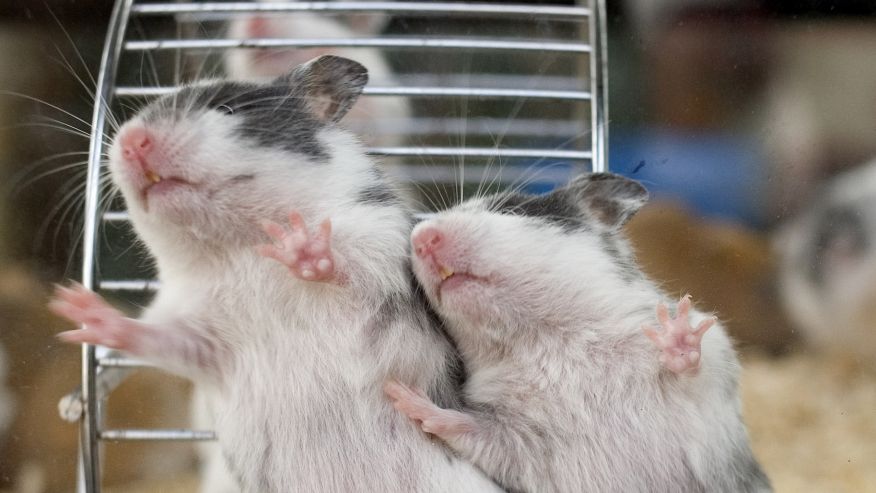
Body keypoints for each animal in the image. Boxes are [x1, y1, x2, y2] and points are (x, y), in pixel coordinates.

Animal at [49, 55, 500, 492]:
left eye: (227, 109)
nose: (130, 141)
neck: (237, 249)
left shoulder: (382, 252)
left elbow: (349, 267)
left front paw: (300, 245)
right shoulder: (197, 332)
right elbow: (152, 337)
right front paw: (81, 310)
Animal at [385, 173, 771, 492]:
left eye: (511, 209)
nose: (421, 239)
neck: (546, 341)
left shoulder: (713, 384)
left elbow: (693, 365)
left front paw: (674, 332)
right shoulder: (519, 441)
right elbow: (470, 429)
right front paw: (403, 394)